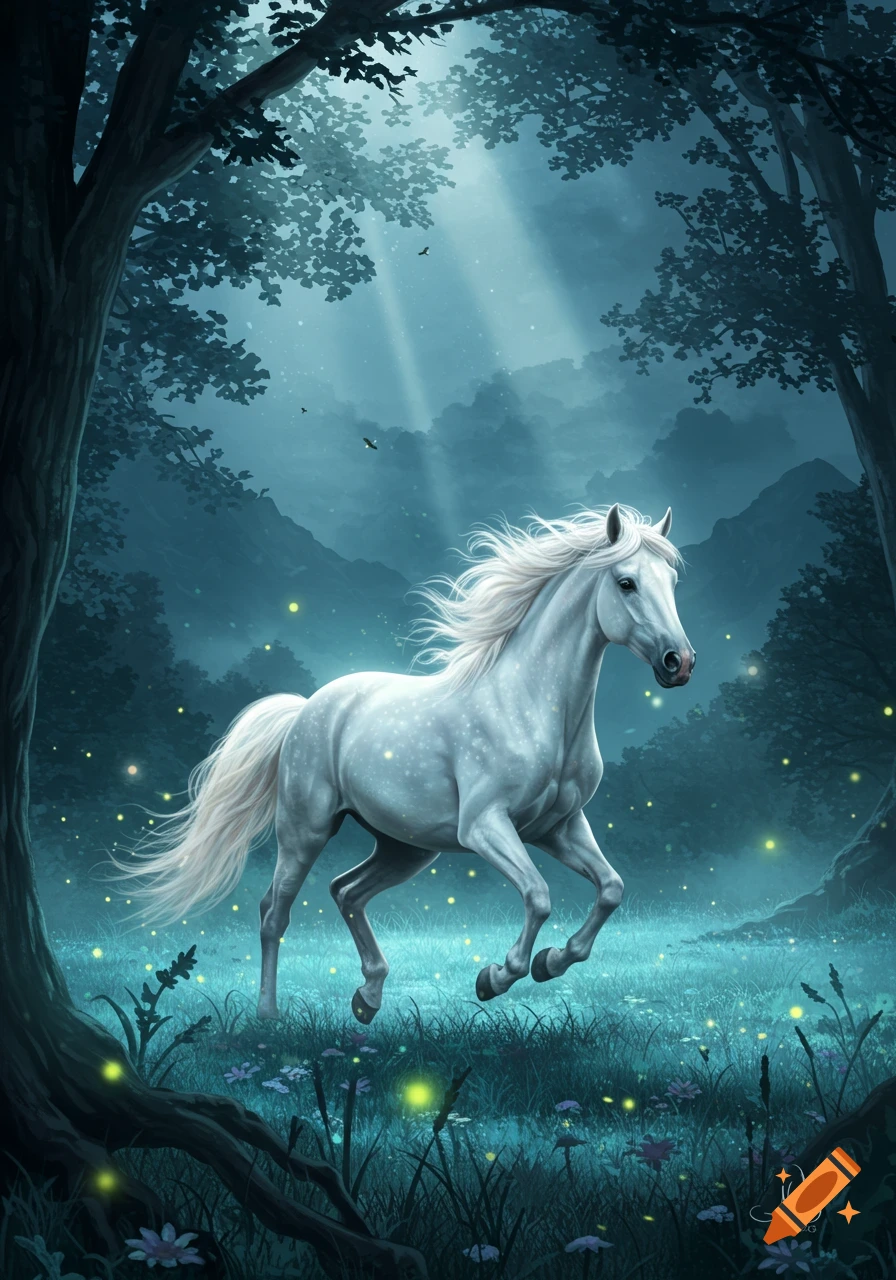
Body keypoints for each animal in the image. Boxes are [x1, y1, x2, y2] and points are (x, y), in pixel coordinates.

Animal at [110, 503, 694, 1022]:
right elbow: (539, 895)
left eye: (672, 581)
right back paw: (268, 1017)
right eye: (626, 582)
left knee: (345, 891)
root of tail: (306, 709)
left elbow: (612, 888)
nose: (679, 663)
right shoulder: (485, 827)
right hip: (304, 830)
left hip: (406, 847)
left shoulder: (559, 827)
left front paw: (551, 962)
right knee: (274, 913)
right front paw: (497, 977)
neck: (530, 705)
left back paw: (367, 998)